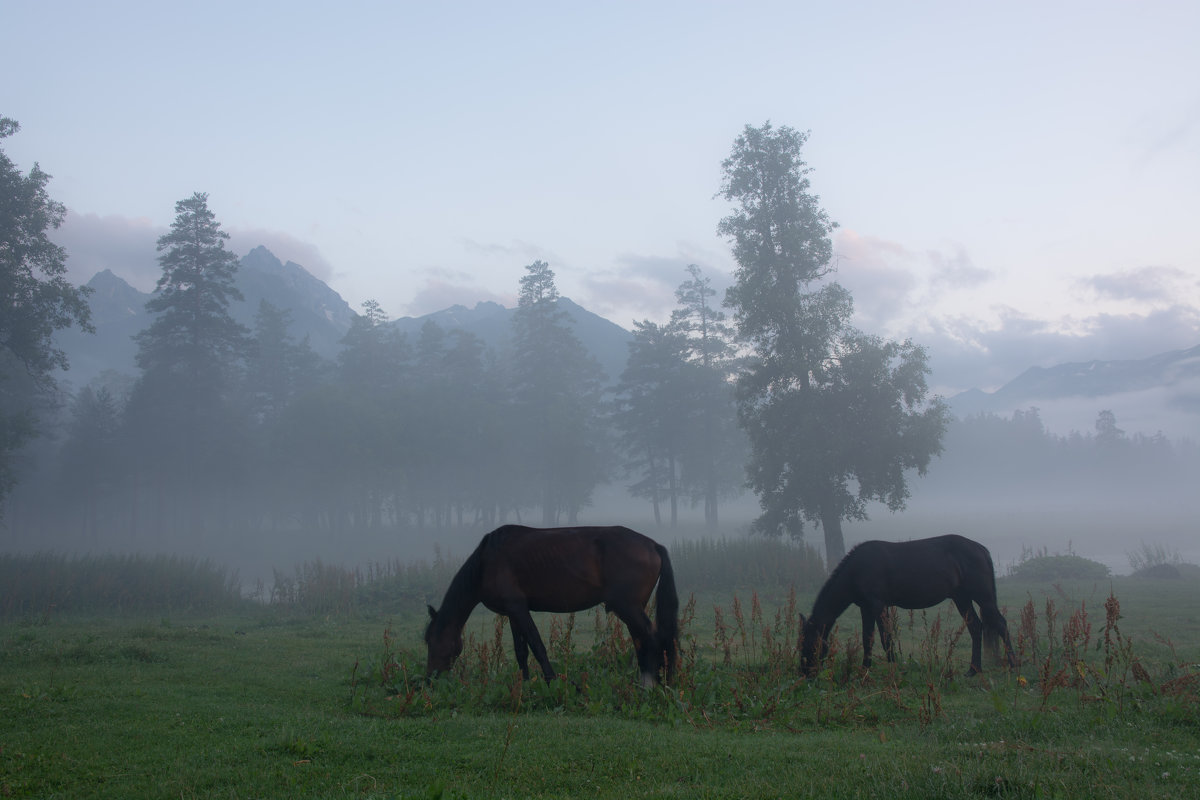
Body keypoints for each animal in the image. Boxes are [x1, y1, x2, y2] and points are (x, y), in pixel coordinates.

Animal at [427, 525, 681, 690]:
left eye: (430, 642)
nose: (430, 679)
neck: (486, 561)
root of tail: (653, 545)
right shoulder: (513, 613)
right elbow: (521, 652)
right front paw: (525, 684)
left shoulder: (518, 609)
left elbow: (537, 646)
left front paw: (551, 681)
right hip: (632, 609)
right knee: (642, 641)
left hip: (628, 607)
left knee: (652, 638)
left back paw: (649, 684)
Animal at [801, 534, 1017, 681]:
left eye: (811, 644)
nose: (805, 674)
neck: (858, 569)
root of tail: (981, 549)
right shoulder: (866, 608)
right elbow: (867, 639)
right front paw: (864, 670)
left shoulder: (878, 605)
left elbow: (885, 638)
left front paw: (894, 669)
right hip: (962, 598)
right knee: (976, 628)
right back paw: (973, 670)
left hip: (983, 597)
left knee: (1000, 624)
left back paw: (1014, 665)